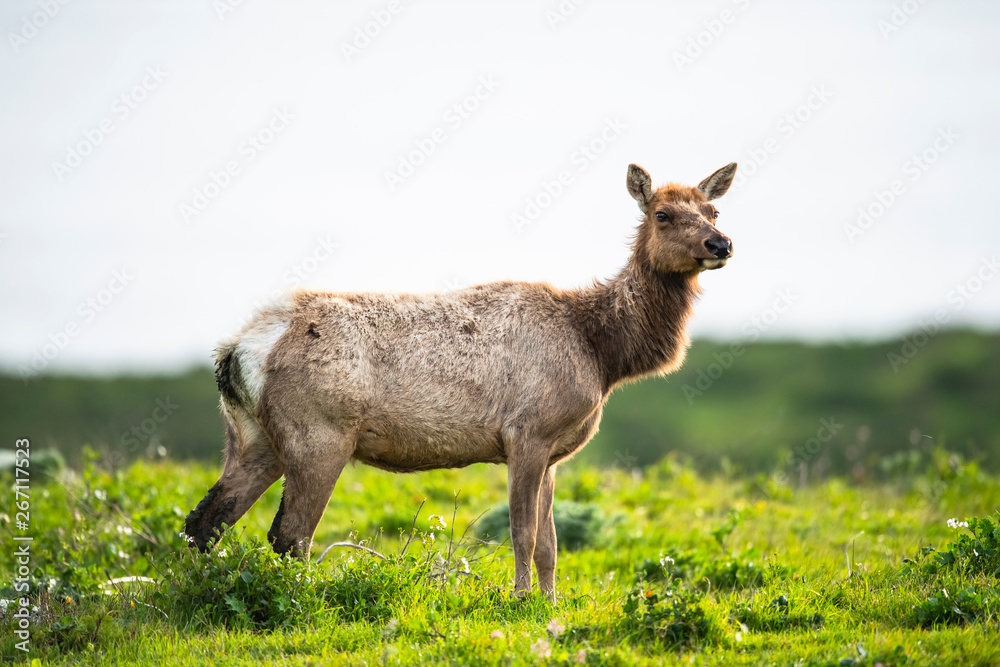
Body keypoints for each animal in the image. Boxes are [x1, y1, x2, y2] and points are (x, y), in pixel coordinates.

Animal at [184, 161, 737, 598]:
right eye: (662, 215)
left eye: (713, 211)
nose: (722, 243)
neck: (601, 353)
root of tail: (236, 351)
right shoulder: (527, 431)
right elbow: (523, 533)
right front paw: (520, 600)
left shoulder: (556, 452)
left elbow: (552, 543)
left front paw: (551, 603)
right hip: (319, 432)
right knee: (289, 534)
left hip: (251, 435)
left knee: (205, 520)